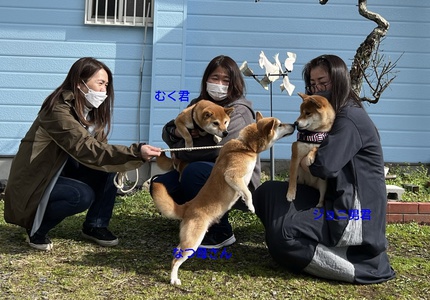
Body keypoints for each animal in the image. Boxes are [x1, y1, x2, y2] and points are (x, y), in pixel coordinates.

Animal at [151, 111, 296, 284]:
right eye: (280, 125)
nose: (295, 124)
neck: (246, 146)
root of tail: (187, 206)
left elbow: (244, 191)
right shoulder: (232, 176)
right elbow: (247, 193)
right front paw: (251, 205)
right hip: (192, 240)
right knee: (176, 258)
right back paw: (174, 278)